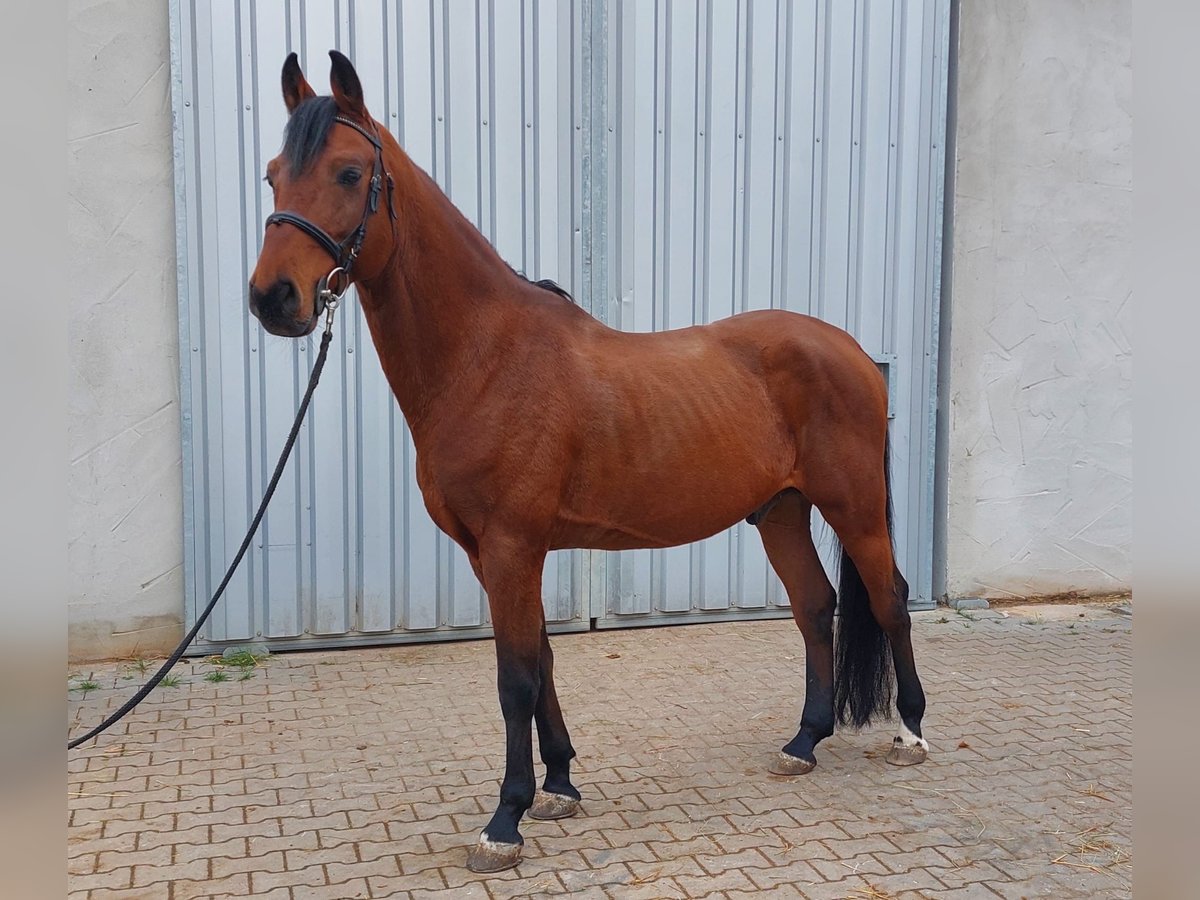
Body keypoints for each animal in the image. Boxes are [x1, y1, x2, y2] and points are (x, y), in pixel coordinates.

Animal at [248, 52, 931, 878]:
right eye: (273, 174)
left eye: (349, 172)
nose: (273, 298)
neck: (485, 356)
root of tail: (853, 351)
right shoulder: (495, 553)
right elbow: (542, 658)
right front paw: (560, 786)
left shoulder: (512, 546)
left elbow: (515, 678)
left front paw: (505, 822)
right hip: (782, 510)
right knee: (814, 604)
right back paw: (804, 741)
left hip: (852, 504)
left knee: (890, 598)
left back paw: (911, 734)